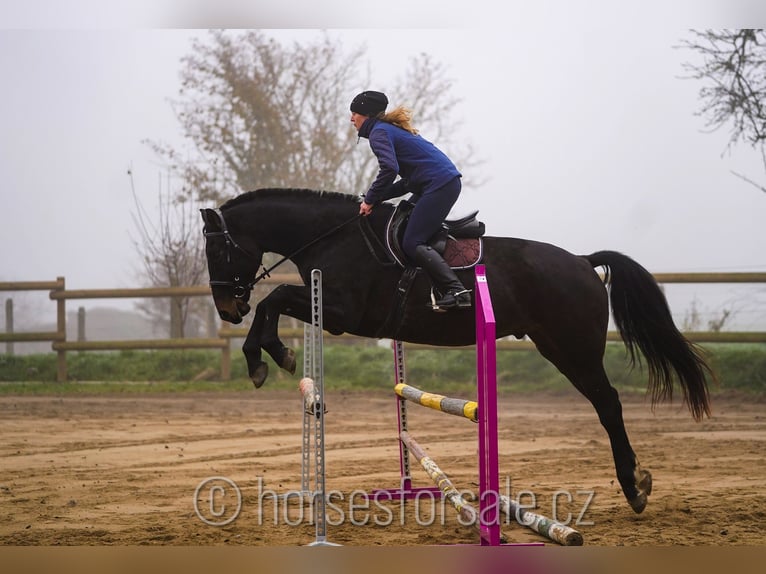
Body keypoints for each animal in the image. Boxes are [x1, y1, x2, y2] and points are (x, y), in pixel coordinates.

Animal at [201, 189, 716, 516]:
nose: (227, 309)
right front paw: (269, 358)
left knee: (608, 404)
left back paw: (634, 487)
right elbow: (271, 303)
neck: (332, 236)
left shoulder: (342, 312)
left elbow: (272, 300)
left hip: (574, 349)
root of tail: (582, 262)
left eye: (217, 252)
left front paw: (266, 358)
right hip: (557, 346)